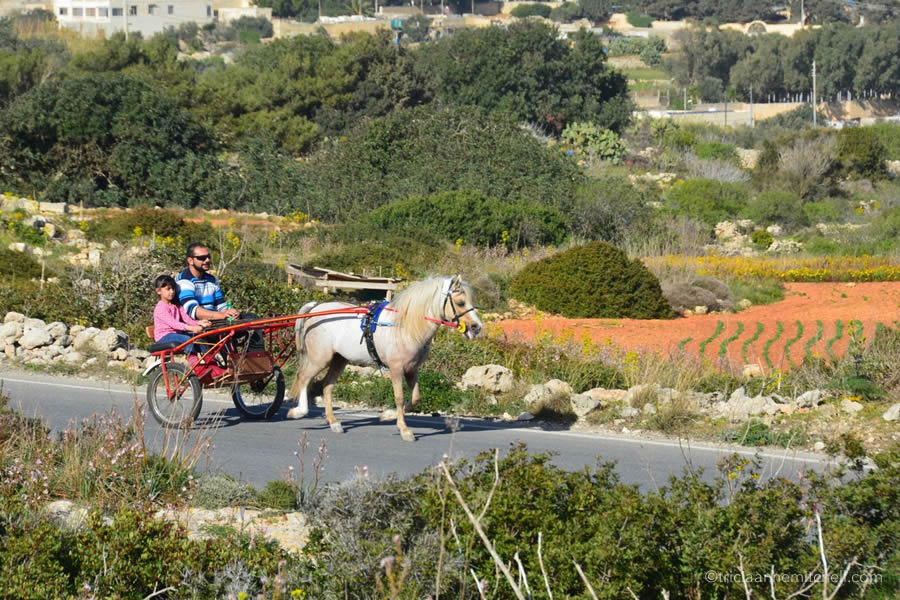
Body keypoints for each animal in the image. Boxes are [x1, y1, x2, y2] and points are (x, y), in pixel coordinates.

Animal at [285, 275, 483, 441]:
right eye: (460, 302)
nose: (477, 327)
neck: (404, 326)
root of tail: (315, 308)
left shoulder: (412, 370)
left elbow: (415, 398)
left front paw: (387, 415)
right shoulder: (396, 369)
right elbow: (400, 397)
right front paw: (404, 429)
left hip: (339, 360)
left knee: (327, 385)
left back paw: (333, 422)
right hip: (319, 359)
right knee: (303, 378)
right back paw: (299, 411)